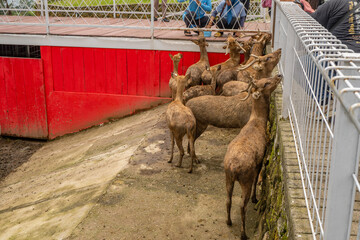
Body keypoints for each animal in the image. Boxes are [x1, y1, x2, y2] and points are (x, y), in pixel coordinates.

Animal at [224, 74, 282, 239]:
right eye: (266, 83)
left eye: (266, 78)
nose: (279, 75)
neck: (259, 121)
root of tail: (233, 167)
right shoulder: (260, 160)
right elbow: (258, 177)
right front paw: (256, 198)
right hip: (245, 178)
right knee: (241, 205)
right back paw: (244, 234)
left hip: (227, 177)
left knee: (228, 200)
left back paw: (228, 221)